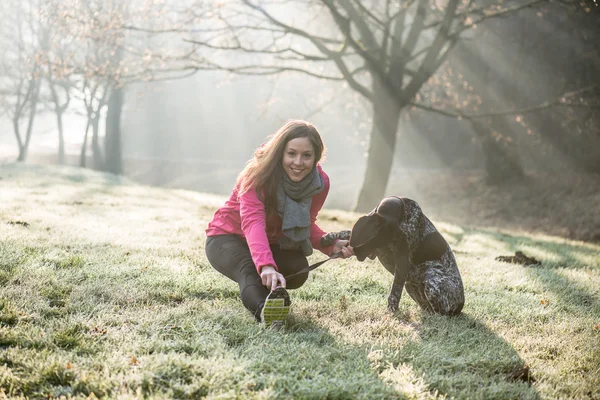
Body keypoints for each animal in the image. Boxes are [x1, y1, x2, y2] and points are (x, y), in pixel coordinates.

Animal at [324, 197, 464, 316]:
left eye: (380, 242)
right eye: (373, 239)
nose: (360, 254)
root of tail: (460, 307)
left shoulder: (402, 262)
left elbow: (395, 292)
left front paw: (392, 310)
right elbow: (346, 232)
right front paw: (329, 236)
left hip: (432, 282)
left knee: (441, 313)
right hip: (410, 286)